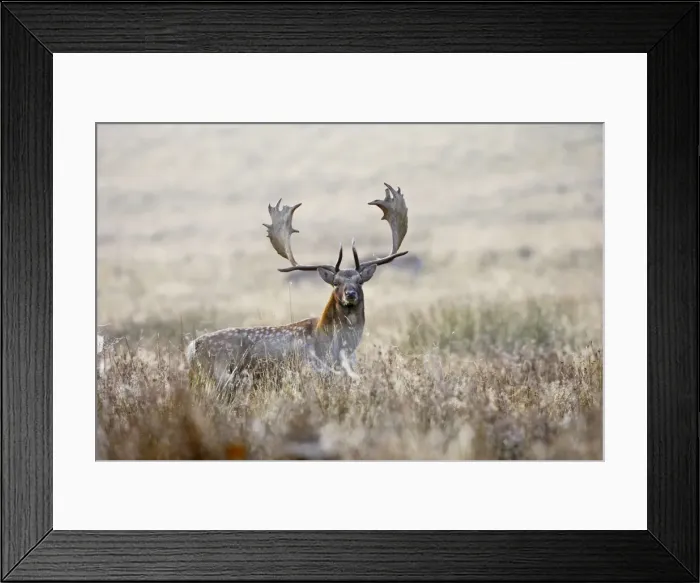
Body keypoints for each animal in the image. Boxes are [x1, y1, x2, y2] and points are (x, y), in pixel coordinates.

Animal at [185, 182, 410, 392]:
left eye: (359, 280)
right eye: (335, 282)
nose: (351, 294)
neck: (338, 346)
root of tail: (191, 348)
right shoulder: (312, 369)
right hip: (219, 373)